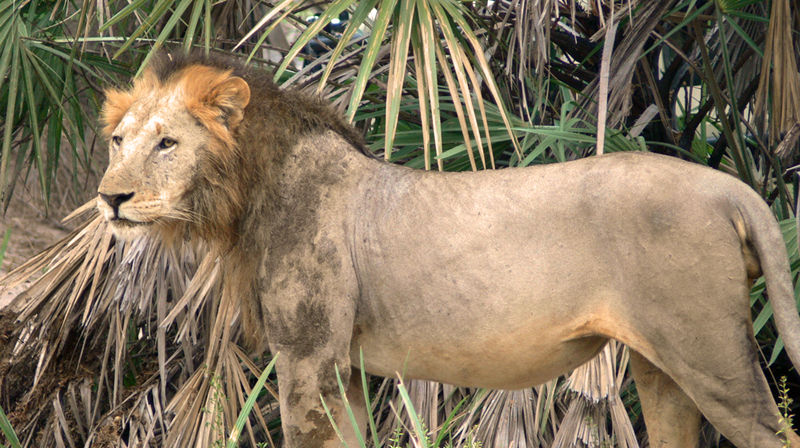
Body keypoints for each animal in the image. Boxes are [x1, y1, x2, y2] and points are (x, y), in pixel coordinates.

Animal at [97, 52, 800, 447]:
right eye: (118, 140)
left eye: (167, 143)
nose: (109, 198)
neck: (245, 197)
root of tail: (731, 186)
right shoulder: (347, 371)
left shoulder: (307, 359)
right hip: (663, 367)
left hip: (712, 355)